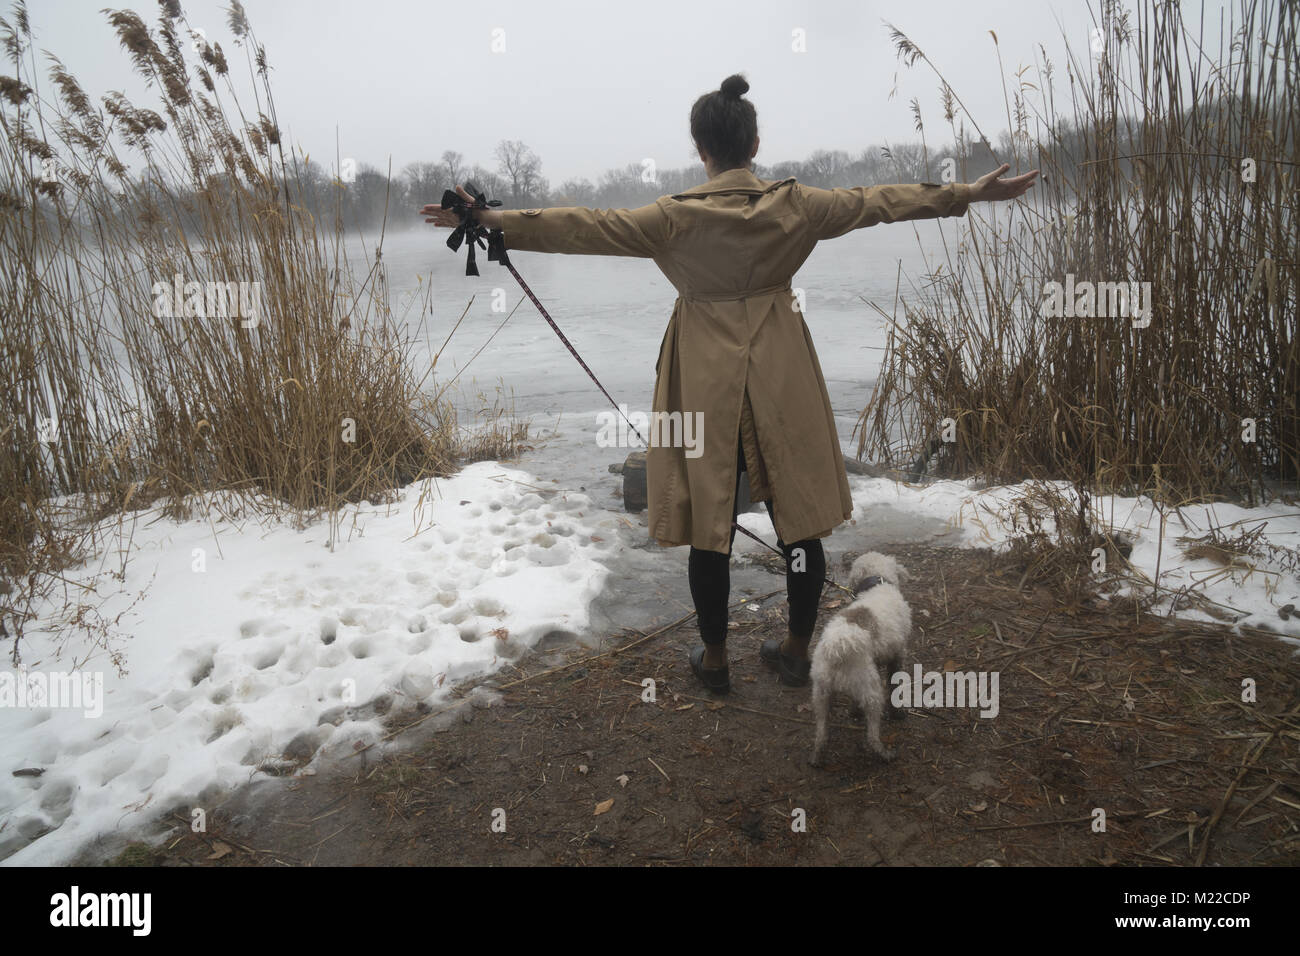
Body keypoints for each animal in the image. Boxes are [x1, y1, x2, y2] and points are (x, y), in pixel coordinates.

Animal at [806, 548, 909, 764]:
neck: (877, 584)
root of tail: (838, 644)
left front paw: (854, 712)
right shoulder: (897, 656)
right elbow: (894, 686)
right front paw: (897, 713)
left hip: (821, 694)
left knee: (821, 734)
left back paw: (816, 757)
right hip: (871, 692)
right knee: (872, 736)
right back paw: (885, 754)